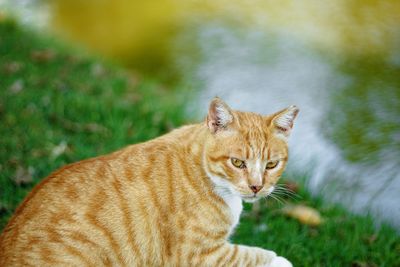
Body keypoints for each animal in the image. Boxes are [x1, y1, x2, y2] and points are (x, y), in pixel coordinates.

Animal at [0, 98, 296, 267]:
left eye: (271, 165)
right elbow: (250, 254)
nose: (257, 187)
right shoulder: (197, 255)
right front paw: (279, 260)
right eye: (237, 163)